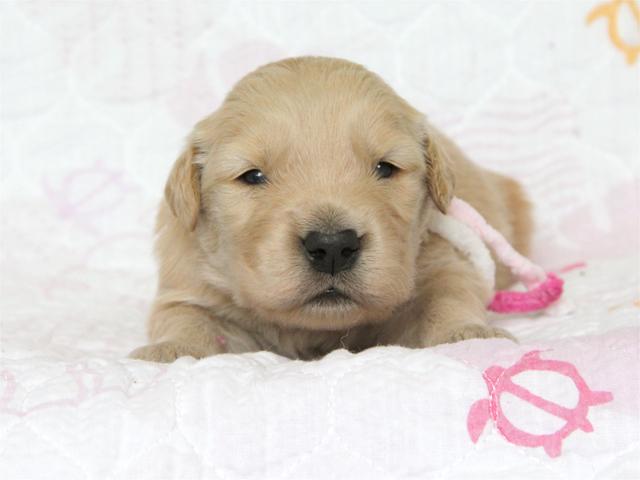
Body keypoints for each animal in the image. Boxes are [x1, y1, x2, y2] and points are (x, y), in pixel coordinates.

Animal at [129, 57, 532, 362]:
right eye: (252, 176)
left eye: (386, 168)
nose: (333, 246)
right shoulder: (189, 283)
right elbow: (186, 317)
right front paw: (172, 349)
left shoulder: (440, 261)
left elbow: (447, 295)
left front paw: (467, 333)